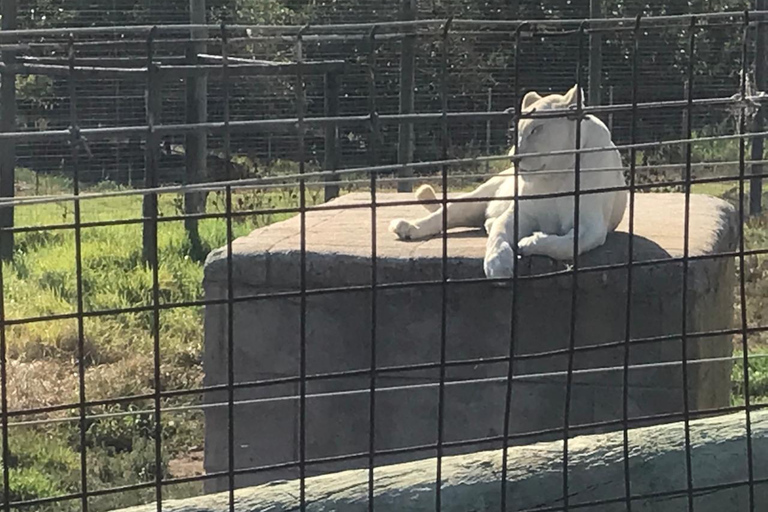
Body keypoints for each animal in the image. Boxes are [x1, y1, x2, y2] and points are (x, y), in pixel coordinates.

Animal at [388, 86, 628, 278]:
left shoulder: (591, 225)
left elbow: (567, 244)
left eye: (536, 129)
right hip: (477, 197)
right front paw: (498, 264)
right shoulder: (521, 211)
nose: (513, 158)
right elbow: (499, 233)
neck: (553, 176)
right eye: (517, 132)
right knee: (444, 214)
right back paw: (407, 227)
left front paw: (528, 242)